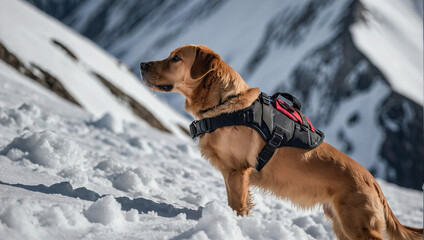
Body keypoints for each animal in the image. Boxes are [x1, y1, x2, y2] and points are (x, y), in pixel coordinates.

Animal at [141, 44, 422, 239]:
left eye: (176, 58)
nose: (142, 64)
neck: (225, 105)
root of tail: (373, 181)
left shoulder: (238, 171)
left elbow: (238, 205)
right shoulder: (232, 174)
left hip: (357, 224)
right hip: (341, 224)